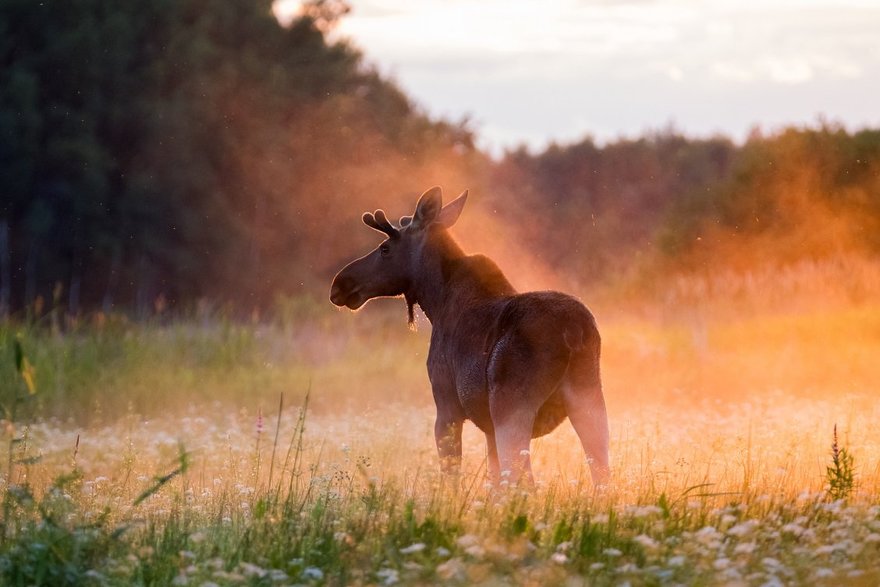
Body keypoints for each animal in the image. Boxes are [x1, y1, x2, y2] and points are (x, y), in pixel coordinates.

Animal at [326, 188, 608, 486]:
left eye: (385, 248)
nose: (340, 284)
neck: (435, 301)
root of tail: (573, 331)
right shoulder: (487, 427)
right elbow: (495, 484)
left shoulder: (446, 406)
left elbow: (452, 477)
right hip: (589, 399)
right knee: (602, 476)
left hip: (512, 407)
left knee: (526, 482)